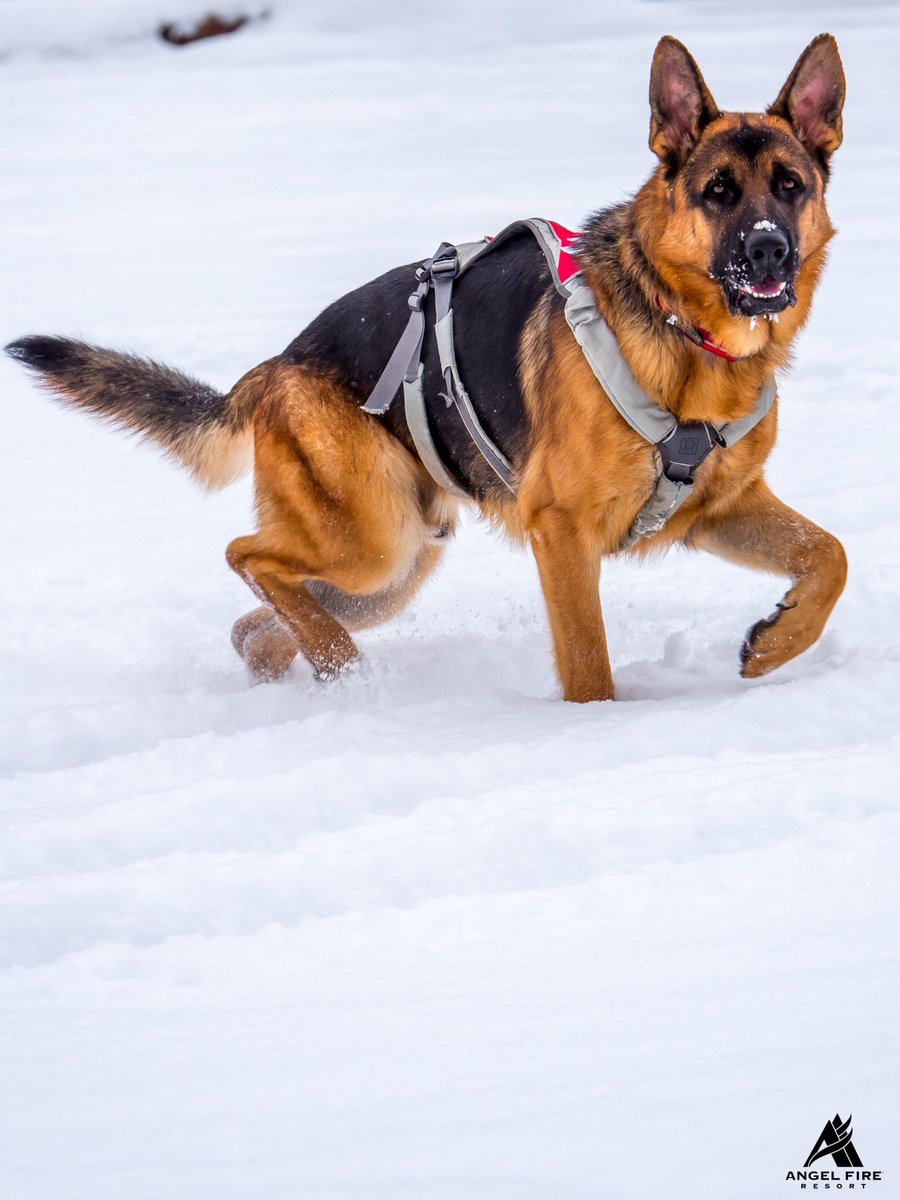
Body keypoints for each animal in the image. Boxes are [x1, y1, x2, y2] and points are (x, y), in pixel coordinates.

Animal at [7, 34, 847, 702]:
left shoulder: (719, 511)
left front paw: (776, 642)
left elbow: (831, 557)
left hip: (393, 566)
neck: (685, 335)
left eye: (790, 186)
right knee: (246, 555)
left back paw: (313, 673)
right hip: (373, 541)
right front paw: (596, 729)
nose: (769, 251)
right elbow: (588, 667)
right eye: (718, 192)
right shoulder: (561, 532)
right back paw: (344, 669)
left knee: (257, 622)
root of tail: (276, 367)